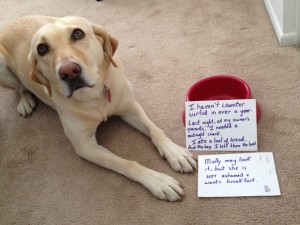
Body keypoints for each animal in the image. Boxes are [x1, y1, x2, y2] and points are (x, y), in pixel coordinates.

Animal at [0, 16, 197, 201]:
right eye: (42, 49)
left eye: (77, 33)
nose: (69, 72)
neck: (95, 96)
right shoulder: (85, 146)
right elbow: (128, 163)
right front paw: (158, 181)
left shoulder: (130, 108)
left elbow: (156, 130)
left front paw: (176, 153)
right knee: (20, 87)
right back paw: (25, 101)